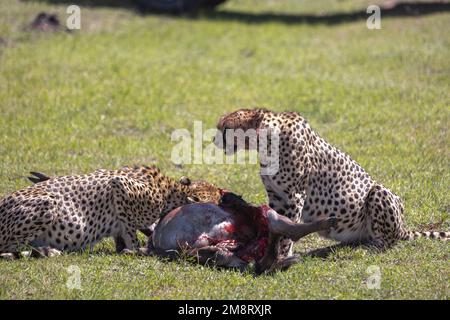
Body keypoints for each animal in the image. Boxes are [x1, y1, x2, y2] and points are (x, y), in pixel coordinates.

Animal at [0, 165, 221, 258]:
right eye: (218, 200)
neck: (172, 192)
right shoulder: (119, 185)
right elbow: (131, 234)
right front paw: (138, 250)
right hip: (48, 204)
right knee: (6, 248)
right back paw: (45, 251)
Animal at [215, 109, 450, 254]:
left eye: (225, 128)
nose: (213, 140)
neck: (265, 142)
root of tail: (403, 227)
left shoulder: (293, 196)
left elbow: (285, 227)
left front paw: (280, 254)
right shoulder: (277, 196)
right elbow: (275, 222)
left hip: (380, 192)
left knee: (389, 240)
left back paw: (371, 247)